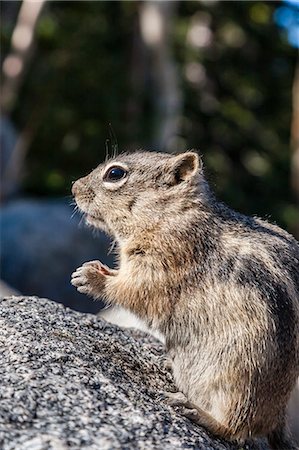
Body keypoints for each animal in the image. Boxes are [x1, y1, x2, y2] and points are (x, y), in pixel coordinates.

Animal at [71, 151, 299, 450]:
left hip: (239, 380)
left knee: (238, 428)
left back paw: (197, 411)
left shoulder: (163, 263)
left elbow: (133, 290)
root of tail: (278, 414)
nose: (74, 187)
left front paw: (89, 277)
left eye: (115, 173)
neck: (172, 215)